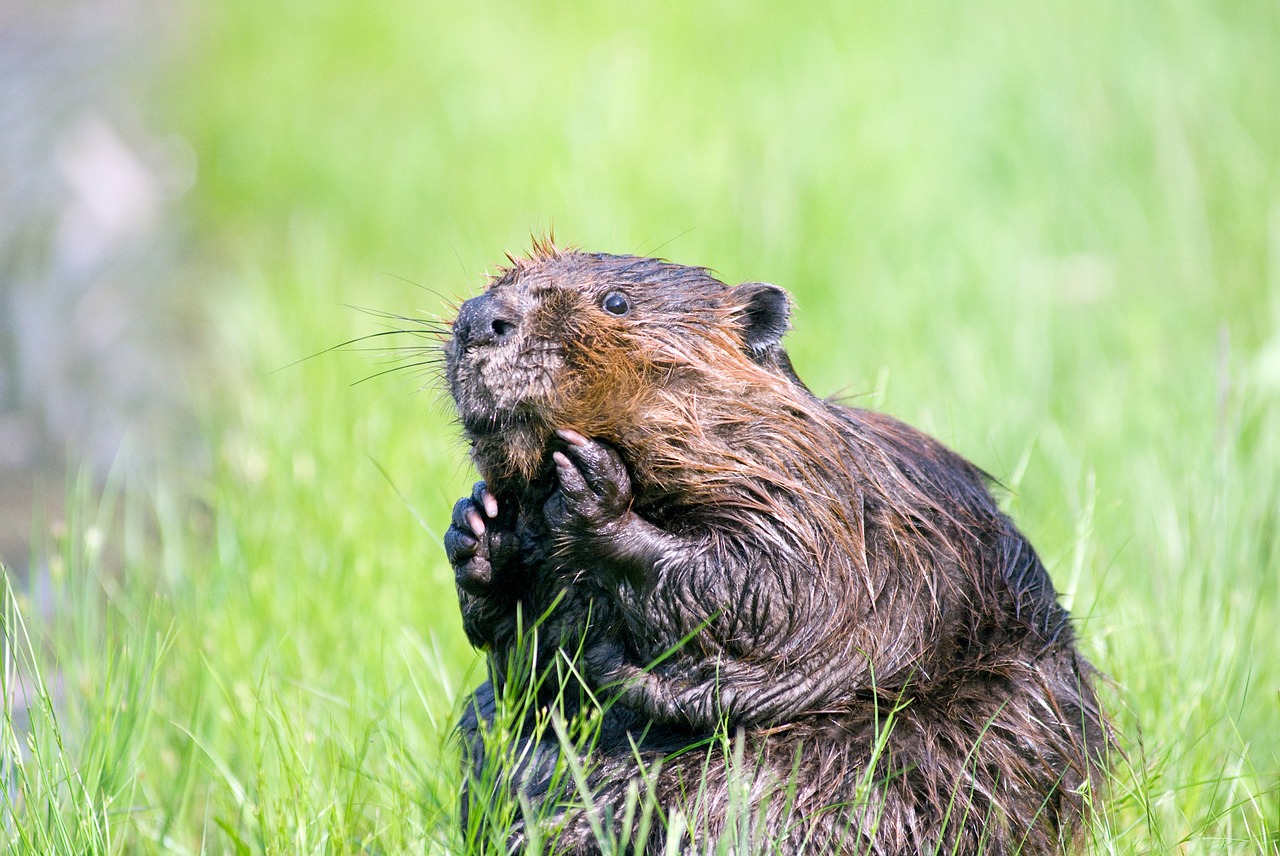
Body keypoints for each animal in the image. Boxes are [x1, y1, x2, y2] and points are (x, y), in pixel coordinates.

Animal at [442, 240, 1111, 854]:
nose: (480, 317)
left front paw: (593, 488)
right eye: (499, 281)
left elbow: (777, 588)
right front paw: (479, 528)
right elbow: (532, 669)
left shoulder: (821, 497)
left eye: (616, 302)